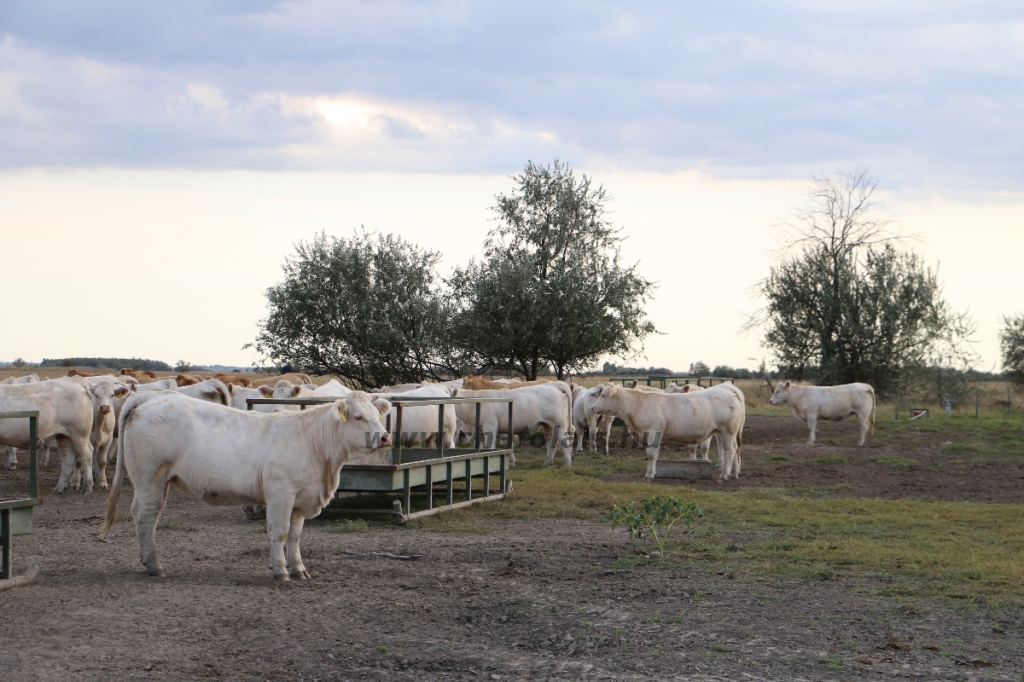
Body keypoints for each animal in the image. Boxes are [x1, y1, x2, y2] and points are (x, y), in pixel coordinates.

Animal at [100, 387, 391, 577]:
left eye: (377, 414)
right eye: (358, 417)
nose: (386, 437)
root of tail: (152, 396)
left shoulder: (301, 498)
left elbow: (295, 535)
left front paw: (298, 569)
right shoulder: (280, 494)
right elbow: (280, 532)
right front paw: (281, 570)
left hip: (160, 482)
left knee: (151, 516)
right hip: (149, 478)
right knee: (144, 515)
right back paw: (154, 565)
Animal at [593, 378, 745, 481]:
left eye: (603, 395)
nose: (593, 408)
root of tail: (728, 388)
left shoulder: (653, 432)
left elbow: (652, 455)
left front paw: (649, 475)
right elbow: (651, 454)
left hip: (727, 431)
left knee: (729, 450)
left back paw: (724, 475)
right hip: (730, 432)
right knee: (736, 449)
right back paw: (734, 473)